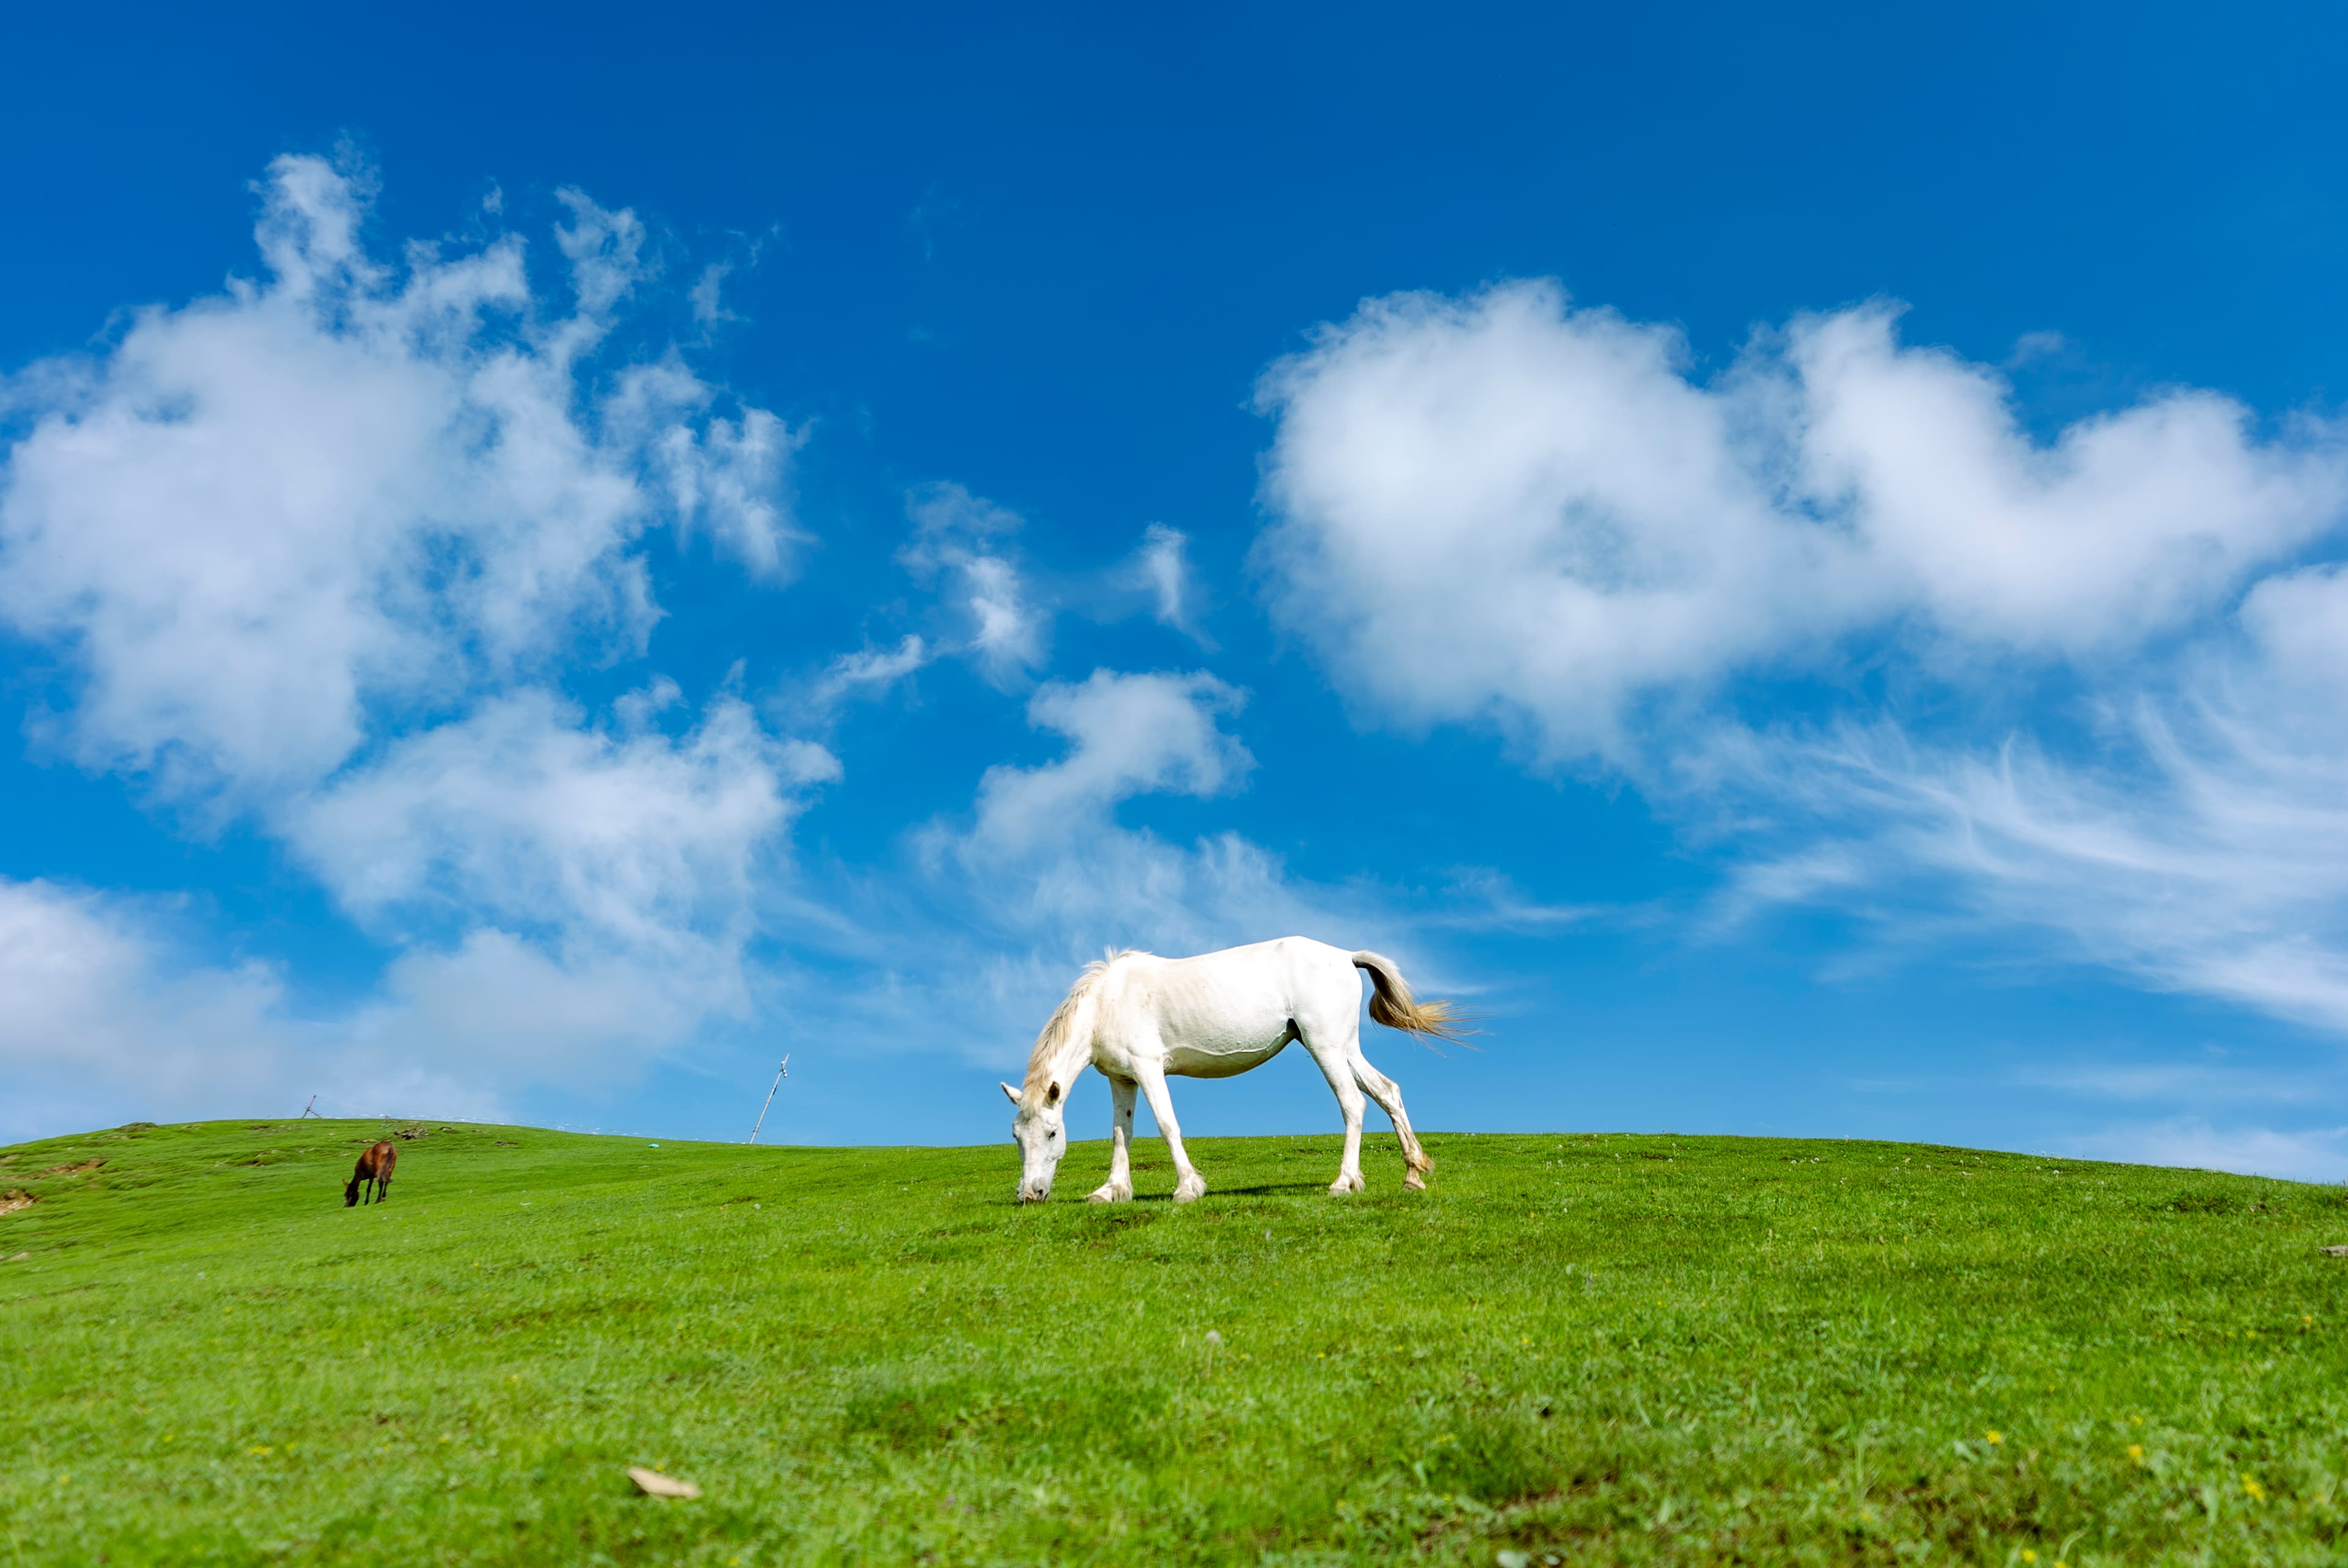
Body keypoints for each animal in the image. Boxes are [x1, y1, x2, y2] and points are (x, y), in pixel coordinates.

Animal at [1002, 936, 1463, 1204]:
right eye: (1017, 1137)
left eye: (1052, 1133)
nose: (1030, 1193)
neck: (1106, 1002)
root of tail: (1346, 957)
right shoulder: (1122, 1078)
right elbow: (1121, 1134)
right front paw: (1112, 1190)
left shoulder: (1149, 1071)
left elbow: (1167, 1125)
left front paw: (1187, 1188)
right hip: (1345, 1048)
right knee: (1387, 1092)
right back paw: (1413, 1176)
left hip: (1326, 1048)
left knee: (1353, 1104)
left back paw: (1343, 1182)